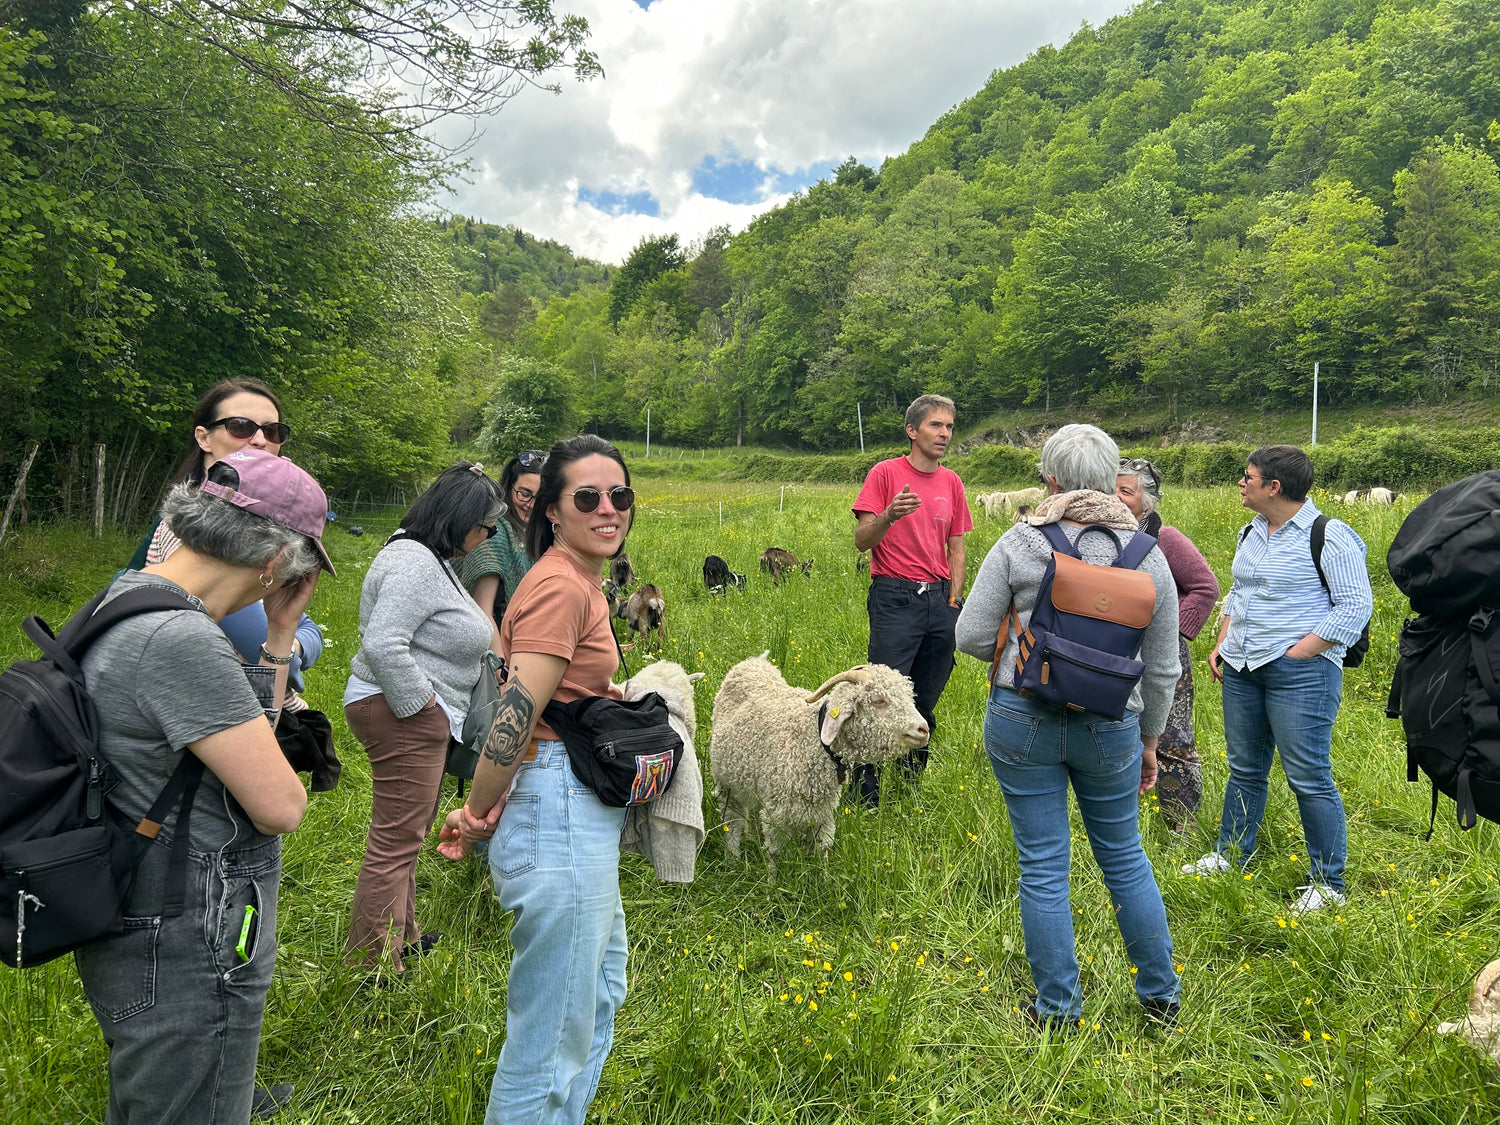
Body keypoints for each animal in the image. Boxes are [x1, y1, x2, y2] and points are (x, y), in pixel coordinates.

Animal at [709, 654, 929, 871]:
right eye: (878, 700)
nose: (923, 729)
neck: (812, 737)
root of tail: (753, 661)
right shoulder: (776, 813)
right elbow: (774, 854)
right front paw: (773, 881)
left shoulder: (822, 811)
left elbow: (822, 849)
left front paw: (823, 877)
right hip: (726, 784)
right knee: (732, 823)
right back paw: (733, 861)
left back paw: (751, 839)